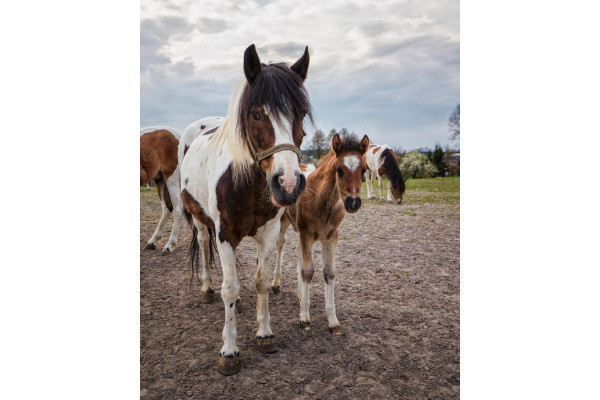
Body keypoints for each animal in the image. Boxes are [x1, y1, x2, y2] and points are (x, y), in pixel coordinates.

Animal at [140, 126, 184, 255]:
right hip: (160, 180)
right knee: (167, 208)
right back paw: (152, 241)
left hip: (171, 179)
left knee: (178, 208)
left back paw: (169, 245)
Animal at [179, 44, 314, 376]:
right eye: (256, 114)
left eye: (301, 114)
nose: (288, 183)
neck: (248, 182)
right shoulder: (225, 232)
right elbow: (229, 287)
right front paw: (229, 350)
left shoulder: (269, 232)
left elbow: (261, 280)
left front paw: (264, 334)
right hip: (200, 221)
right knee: (204, 245)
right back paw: (206, 288)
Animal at [274, 134, 368, 334]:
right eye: (339, 170)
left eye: (363, 169)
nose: (353, 203)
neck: (321, 199)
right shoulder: (307, 234)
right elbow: (308, 271)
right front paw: (304, 317)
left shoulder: (331, 236)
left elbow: (329, 273)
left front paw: (333, 321)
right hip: (283, 222)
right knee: (280, 245)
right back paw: (275, 284)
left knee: (298, 254)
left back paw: (300, 293)